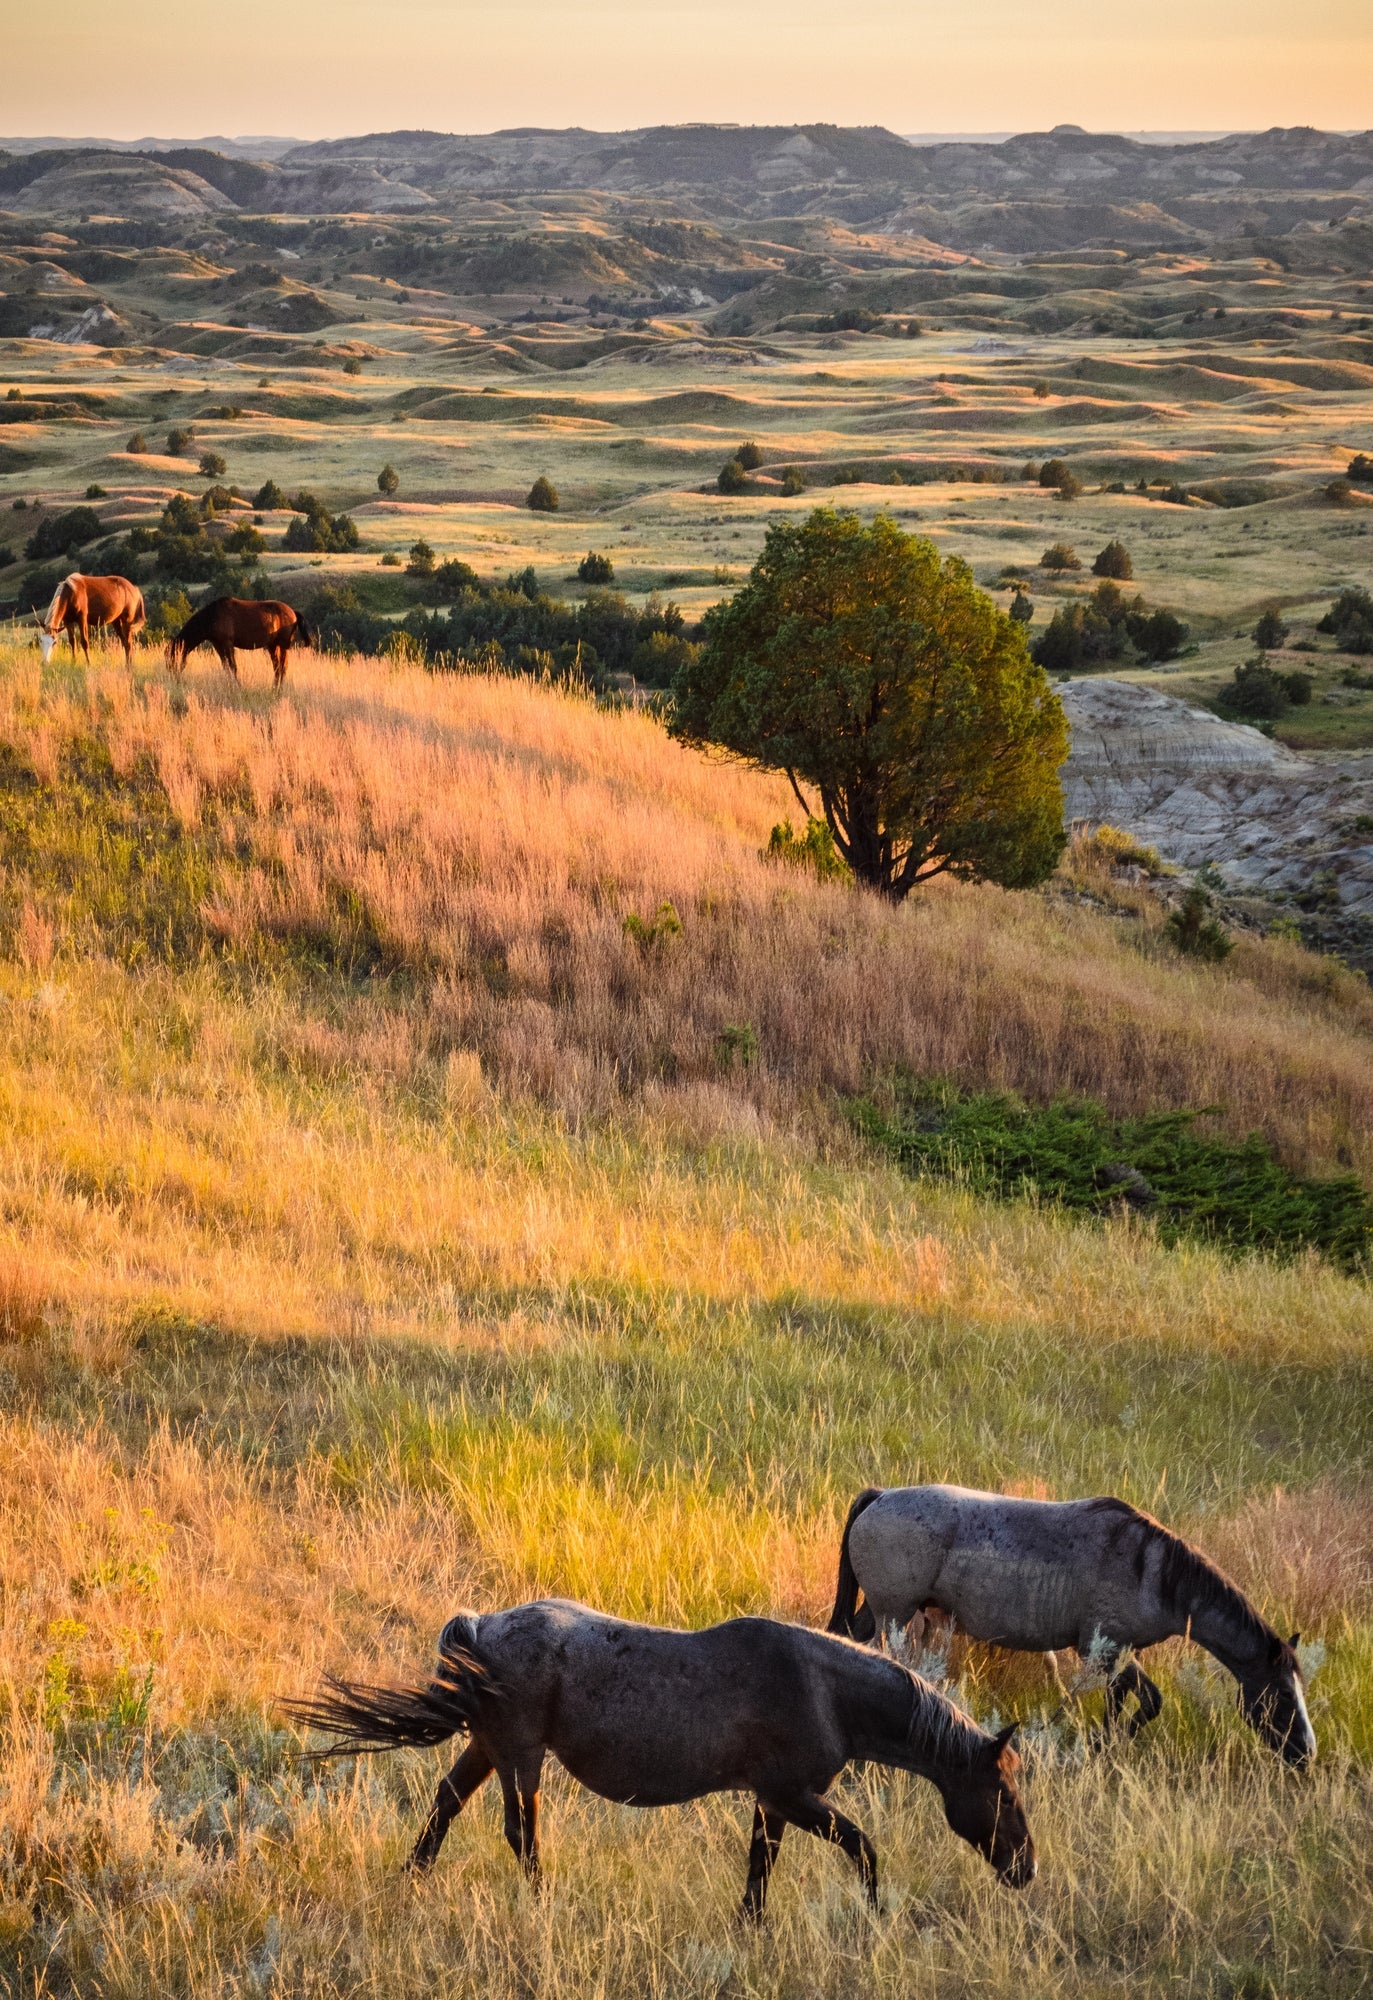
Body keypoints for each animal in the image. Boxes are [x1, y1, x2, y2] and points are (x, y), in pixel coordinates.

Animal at [169, 592, 312, 688]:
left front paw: (237, 687)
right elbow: (226, 667)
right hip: (273, 646)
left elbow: (233, 667)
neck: (211, 616)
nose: (174, 678)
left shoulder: (227, 644)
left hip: (282, 646)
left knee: (282, 667)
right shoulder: (218, 645)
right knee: (277, 668)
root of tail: (293, 612)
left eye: (172, 658)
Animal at [292, 1592, 1040, 1920]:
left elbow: (760, 1868)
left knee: (445, 1805)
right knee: (520, 1831)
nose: (1025, 1868)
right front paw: (873, 1914)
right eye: (1002, 1794)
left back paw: (409, 1883)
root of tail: (480, 1625)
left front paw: (749, 1928)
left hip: (487, 1746)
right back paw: (544, 1905)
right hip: (521, 1756)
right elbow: (862, 1848)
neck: (825, 1689)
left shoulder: (774, 1802)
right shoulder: (794, 1796)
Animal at [828, 1488, 1320, 1768]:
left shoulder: (1119, 1655)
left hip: (883, 1612)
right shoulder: (1101, 1651)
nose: (1307, 1753)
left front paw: (1108, 1746)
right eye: (1280, 1695)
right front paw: (1107, 1746)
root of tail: (881, 1496)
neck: (1154, 1571)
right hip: (894, 1615)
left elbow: (1128, 1702)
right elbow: (1148, 1701)